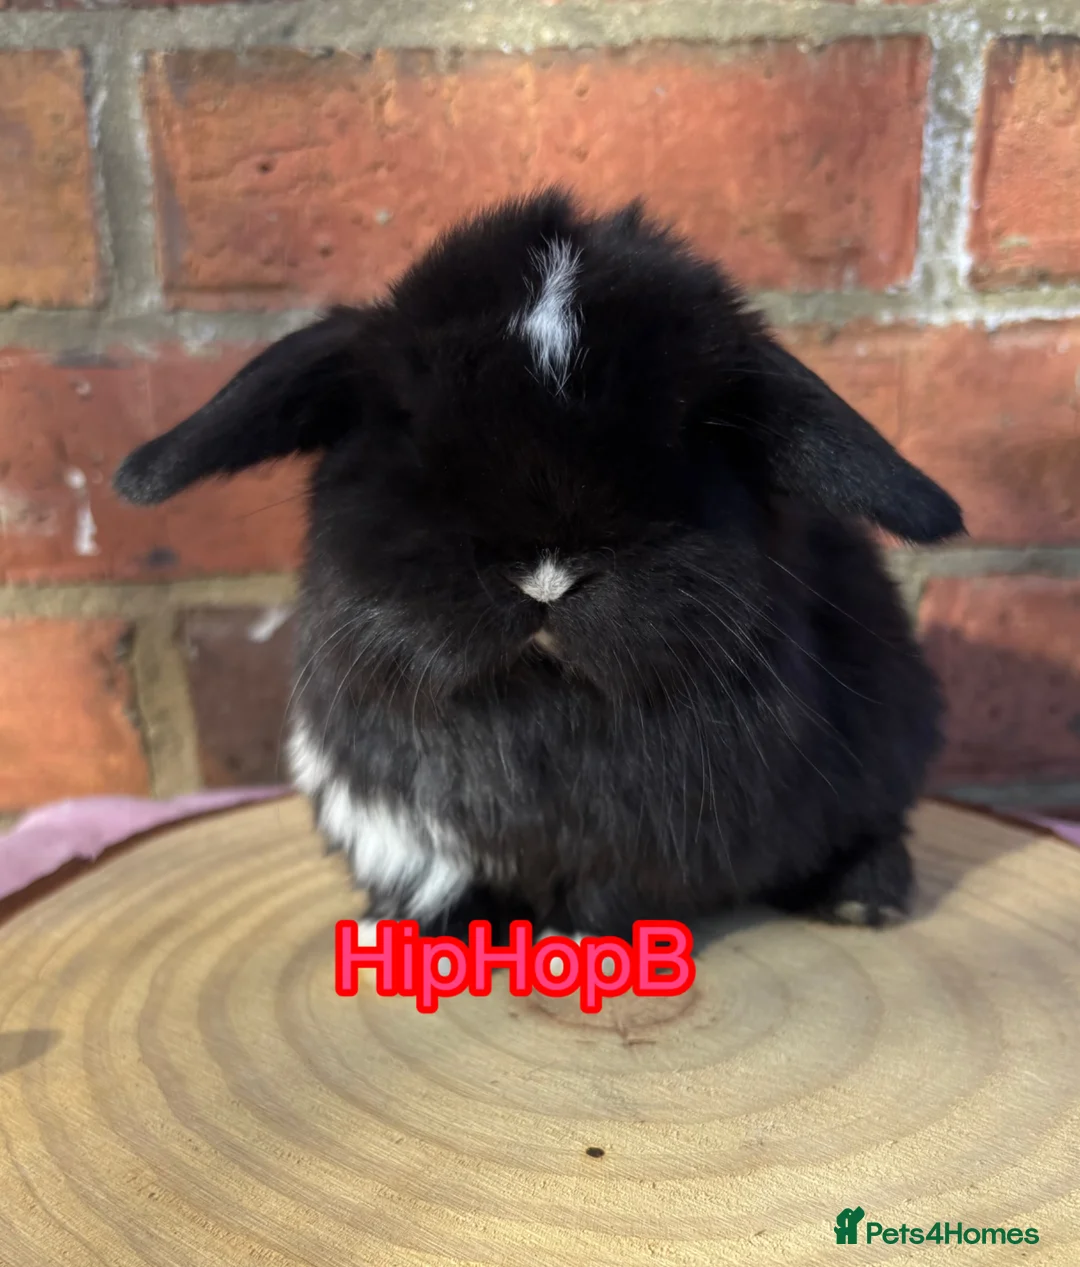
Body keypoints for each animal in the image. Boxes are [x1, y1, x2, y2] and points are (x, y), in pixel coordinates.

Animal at [113, 189, 963, 945]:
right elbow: (441, 876)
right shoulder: (397, 821)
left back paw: (864, 899)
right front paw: (430, 933)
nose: (546, 573)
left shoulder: (654, 836)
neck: (533, 697)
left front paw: (576, 941)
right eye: (404, 417)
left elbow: (612, 893)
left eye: (694, 427)